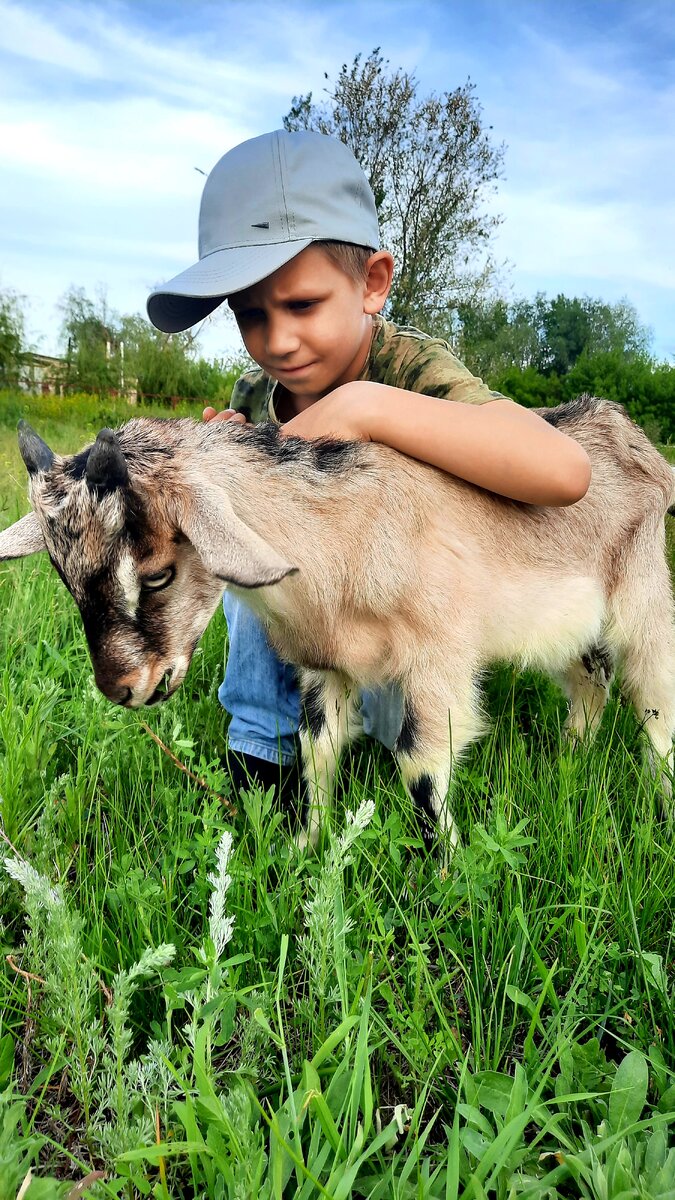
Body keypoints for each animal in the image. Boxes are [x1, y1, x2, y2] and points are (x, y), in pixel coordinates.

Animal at [1, 398, 672, 849]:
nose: (123, 688)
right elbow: (315, 748)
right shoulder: (326, 664)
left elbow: (419, 766)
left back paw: (661, 794)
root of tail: (632, 436)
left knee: (653, 697)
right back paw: (570, 757)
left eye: (160, 573)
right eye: (62, 572)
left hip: (643, 595)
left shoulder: (438, 658)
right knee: (590, 681)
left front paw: (448, 867)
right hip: (571, 631)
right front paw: (308, 844)